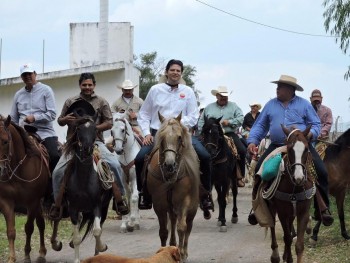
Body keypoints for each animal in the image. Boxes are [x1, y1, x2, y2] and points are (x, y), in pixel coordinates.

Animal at [0, 115, 50, 263]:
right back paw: (42, 252)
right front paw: (11, 258)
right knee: (41, 223)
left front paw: (27, 254)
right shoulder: (6, 202)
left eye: (5, 141)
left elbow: (28, 227)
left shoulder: (32, 202)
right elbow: (11, 231)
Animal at [49, 116, 111, 262]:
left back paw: (98, 252)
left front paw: (102, 247)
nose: (87, 149)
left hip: (104, 207)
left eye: (95, 129)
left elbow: (97, 231)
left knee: (99, 227)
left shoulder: (97, 206)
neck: (83, 179)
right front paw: (76, 258)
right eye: (78, 128)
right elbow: (77, 237)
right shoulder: (73, 209)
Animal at [146, 112, 200, 262]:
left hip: (192, 207)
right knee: (173, 221)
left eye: (179, 137)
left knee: (188, 226)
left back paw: (183, 251)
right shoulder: (159, 203)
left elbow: (182, 228)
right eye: (161, 137)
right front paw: (164, 251)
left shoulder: (184, 201)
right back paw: (172, 245)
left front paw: (181, 254)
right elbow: (164, 231)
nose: (169, 165)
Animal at [264, 126, 316, 263]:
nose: (299, 178)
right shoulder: (282, 212)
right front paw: (286, 258)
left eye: (306, 148)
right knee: (272, 225)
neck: (295, 187)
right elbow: (287, 238)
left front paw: (291, 256)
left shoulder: (303, 212)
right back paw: (276, 256)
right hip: (272, 207)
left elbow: (299, 245)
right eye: (289, 148)